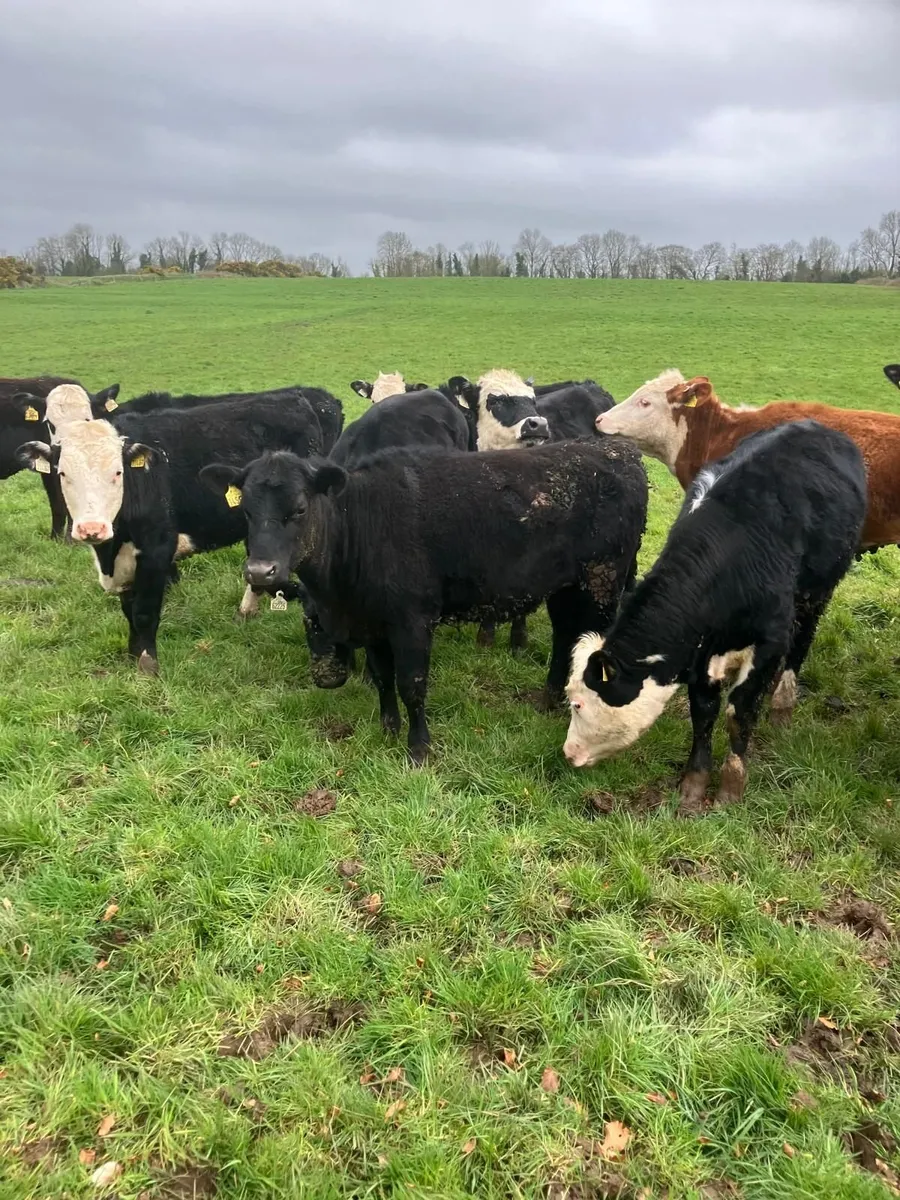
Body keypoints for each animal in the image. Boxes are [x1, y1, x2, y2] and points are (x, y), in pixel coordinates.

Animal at [16, 389, 328, 674]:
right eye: (63, 474)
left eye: (118, 473)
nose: (91, 528)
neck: (109, 552)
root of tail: (296, 398)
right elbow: (128, 611)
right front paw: (132, 656)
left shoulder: (156, 550)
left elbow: (144, 612)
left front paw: (147, 666)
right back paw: (246, 611)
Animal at [204, 439, 647, 763]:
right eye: (245, 511)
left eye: (298, 509)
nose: (260, 572)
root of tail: (619, 451)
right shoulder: (374, 622)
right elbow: (383, 677)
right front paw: (388, 729)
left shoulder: (412, 621)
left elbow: (411, 684)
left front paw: (419, 747)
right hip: (565, 586)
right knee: (564, 636)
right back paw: (548, 699)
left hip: (603, 583)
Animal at [564, 421, 866, 808]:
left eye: (578, 705)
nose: (568, 752)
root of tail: (817, 425)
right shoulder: (700, 651)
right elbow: (703, 712)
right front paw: (693, 787)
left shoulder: (768, 642)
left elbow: (739, 713)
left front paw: (731, 787)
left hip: (819, 591)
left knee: (801, 643)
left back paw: (782, 703)